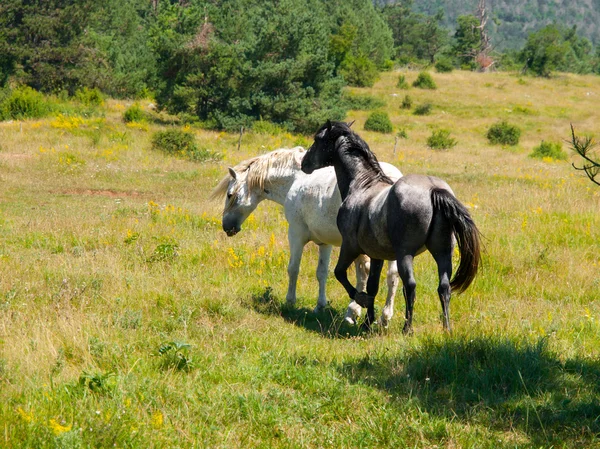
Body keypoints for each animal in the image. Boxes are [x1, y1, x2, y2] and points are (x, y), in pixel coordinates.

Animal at [211, 147, 404, 326]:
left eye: (230, 194)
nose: (226, 227)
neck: (296, 179)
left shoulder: (296, 234)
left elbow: (293, 268)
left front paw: (290, 302)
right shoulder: (325, 242)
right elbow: (322, 273)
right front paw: (319, 306)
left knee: (364, 273)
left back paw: (354, 312)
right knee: (392, 275)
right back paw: (384, 317)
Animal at [302, 119, 480, 332]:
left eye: (317, 139)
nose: (304, 163)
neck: (362, 185)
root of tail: (434, 190)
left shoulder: (350, 246)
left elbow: (340, 273)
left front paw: (361, 302)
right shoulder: (376, 255)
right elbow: (373, 285)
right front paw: (367, 321)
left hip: (405, 254)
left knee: (410, 286)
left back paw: (407, 329)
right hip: (443, 252)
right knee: (444, 287)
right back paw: (447, 329)